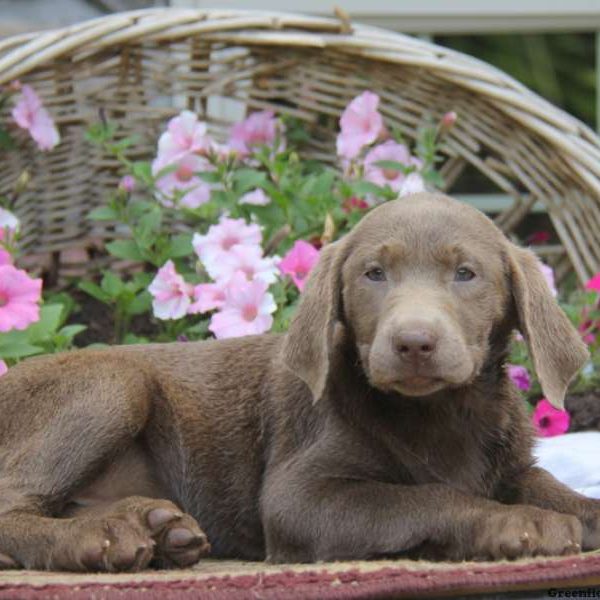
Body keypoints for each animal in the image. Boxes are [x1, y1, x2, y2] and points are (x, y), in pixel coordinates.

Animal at [0, 193, 596, 572]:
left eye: (466, 273)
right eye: (373, 274)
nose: (413, 343)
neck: (440, 414)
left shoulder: (514, 465)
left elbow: (557, 490)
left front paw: (575, 513)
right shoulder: (297, 497)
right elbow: (428, 496)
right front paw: (520, 524)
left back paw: (157, 526)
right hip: (113, 385)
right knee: (14, 504)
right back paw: (98, 539)